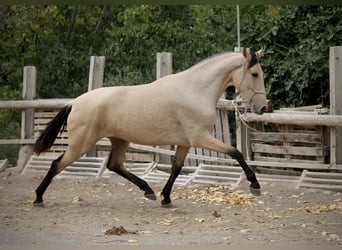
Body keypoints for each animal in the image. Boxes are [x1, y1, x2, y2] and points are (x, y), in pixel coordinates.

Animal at [32, 48, 268, 207]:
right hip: (81, 144)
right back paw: (38, 198)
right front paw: (255, 185)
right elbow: (236, 152)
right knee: (57, 164)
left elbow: (176, 169)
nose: (264, 107)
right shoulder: (200, 138)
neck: (195, 90)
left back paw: (148, 190)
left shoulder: (185, 143)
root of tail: (74, 102)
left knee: (114, 165)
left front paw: (166, 198)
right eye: (255, 74)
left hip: (120, 140)